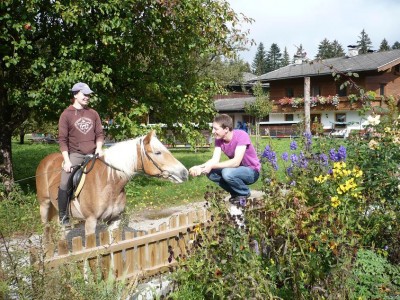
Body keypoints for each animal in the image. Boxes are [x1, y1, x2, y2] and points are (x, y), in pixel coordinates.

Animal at [36, 130, 189, 236]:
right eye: (157, 152)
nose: (184, 173)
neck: (109, 183)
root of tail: (46, 160)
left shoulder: (114, 221)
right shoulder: (90, 222)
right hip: (45, 204)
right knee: (46, 230)